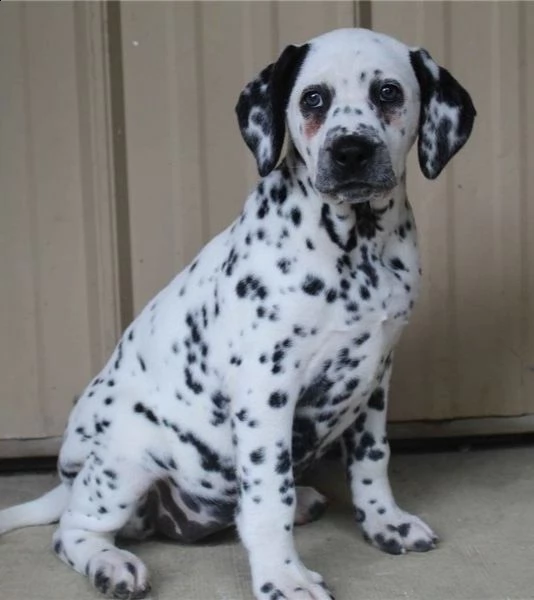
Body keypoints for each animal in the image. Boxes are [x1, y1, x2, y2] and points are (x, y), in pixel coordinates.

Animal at [0, 27, 478, 600]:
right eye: (313, 99)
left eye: (388, 92)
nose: (351, 151)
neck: (357, 244)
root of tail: (71, 479)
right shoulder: (265, 389)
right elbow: (270, 498)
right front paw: (284, 578)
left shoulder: (376, 377)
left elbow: (371, 461)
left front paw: (385, 523)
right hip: (125, 458)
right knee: (73, 530)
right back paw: (111, 565)